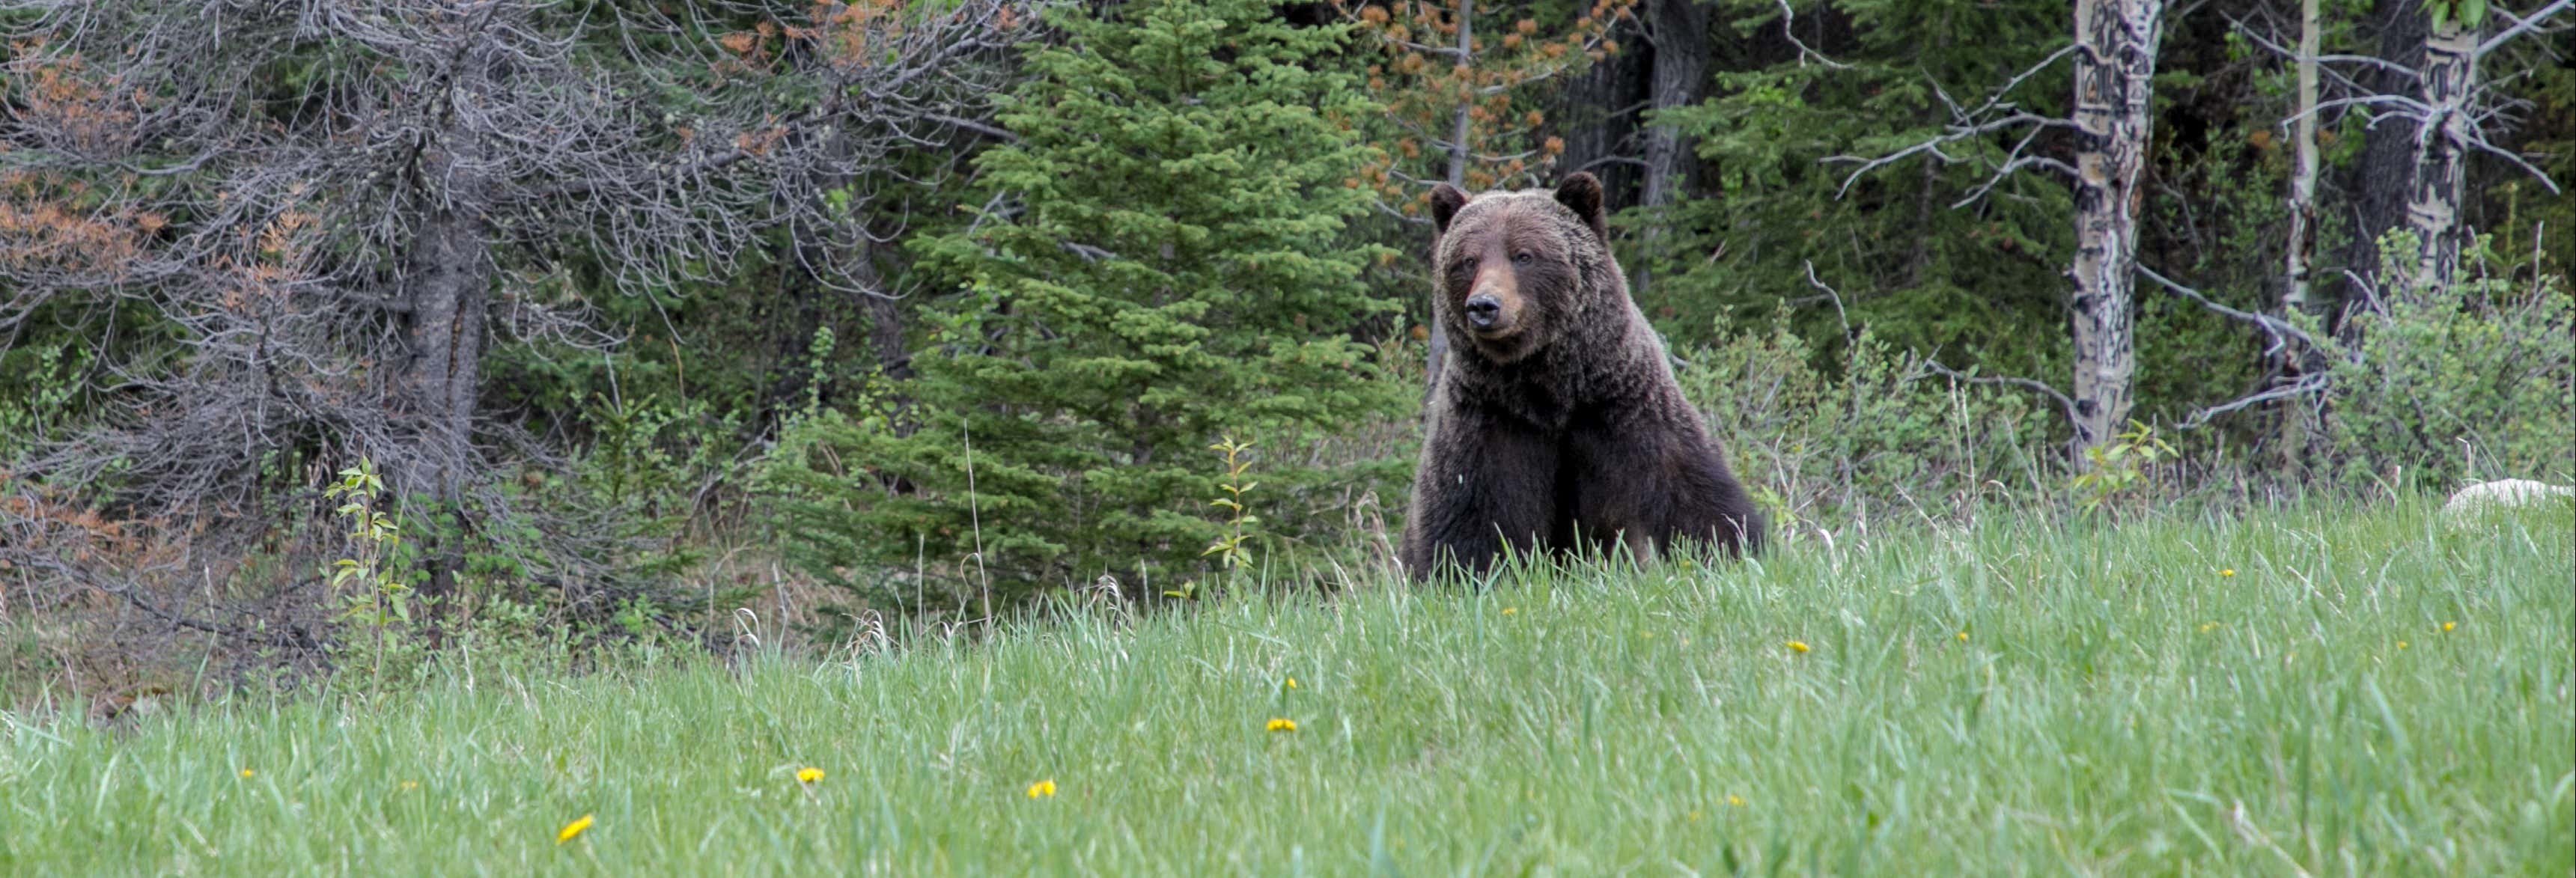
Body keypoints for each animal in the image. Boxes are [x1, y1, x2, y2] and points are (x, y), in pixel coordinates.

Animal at [1399, 173, 1764, 579]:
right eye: (1468, 259)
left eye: (1524, 255)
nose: (1484, 306)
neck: (1547, 388)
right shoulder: (1489, 418)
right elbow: (1470, 511)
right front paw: (1471, 573)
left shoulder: (1620, 402)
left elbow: (1686, 483)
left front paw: (1733, 547)